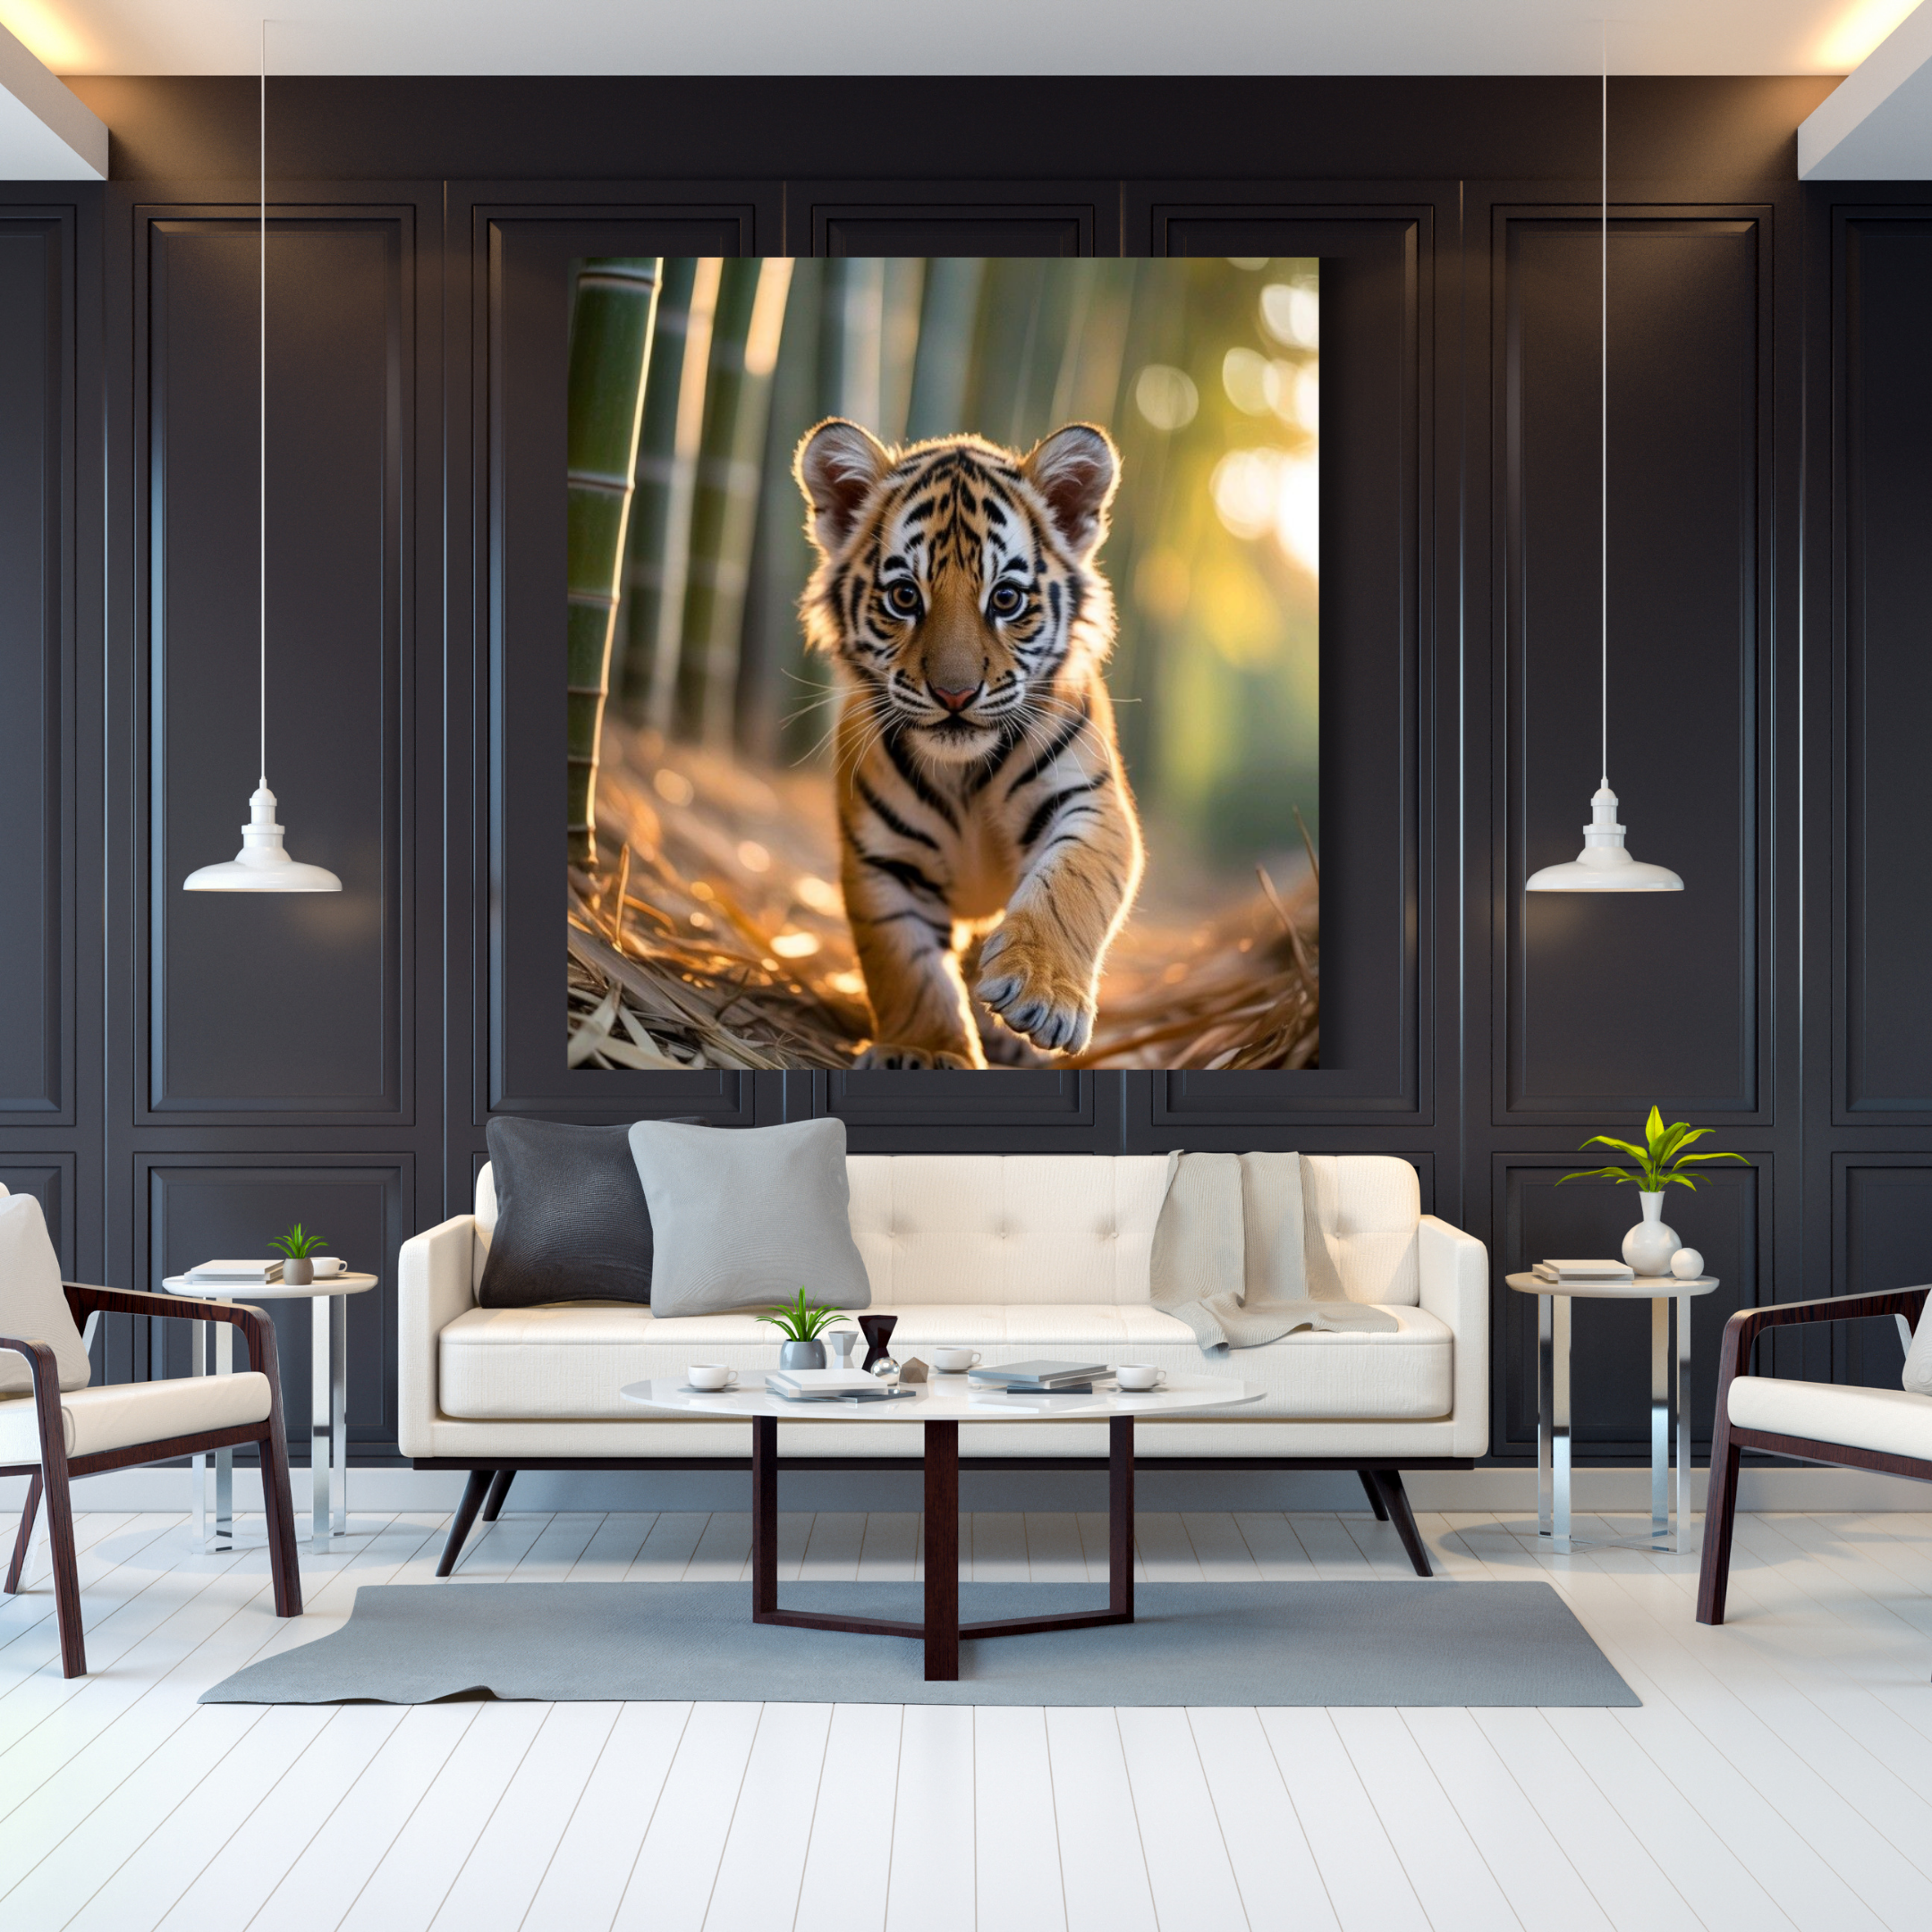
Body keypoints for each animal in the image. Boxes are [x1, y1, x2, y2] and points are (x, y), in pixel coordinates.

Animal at [794, 418, 1145, 1068]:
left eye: (1005, 599)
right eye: (904, 597)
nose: (954, 694)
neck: (962, 773)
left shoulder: (1088, 802)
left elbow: (1071, 887)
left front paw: (1041, 995)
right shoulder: (886, 860)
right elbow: (906, 965)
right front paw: (922, 1050)